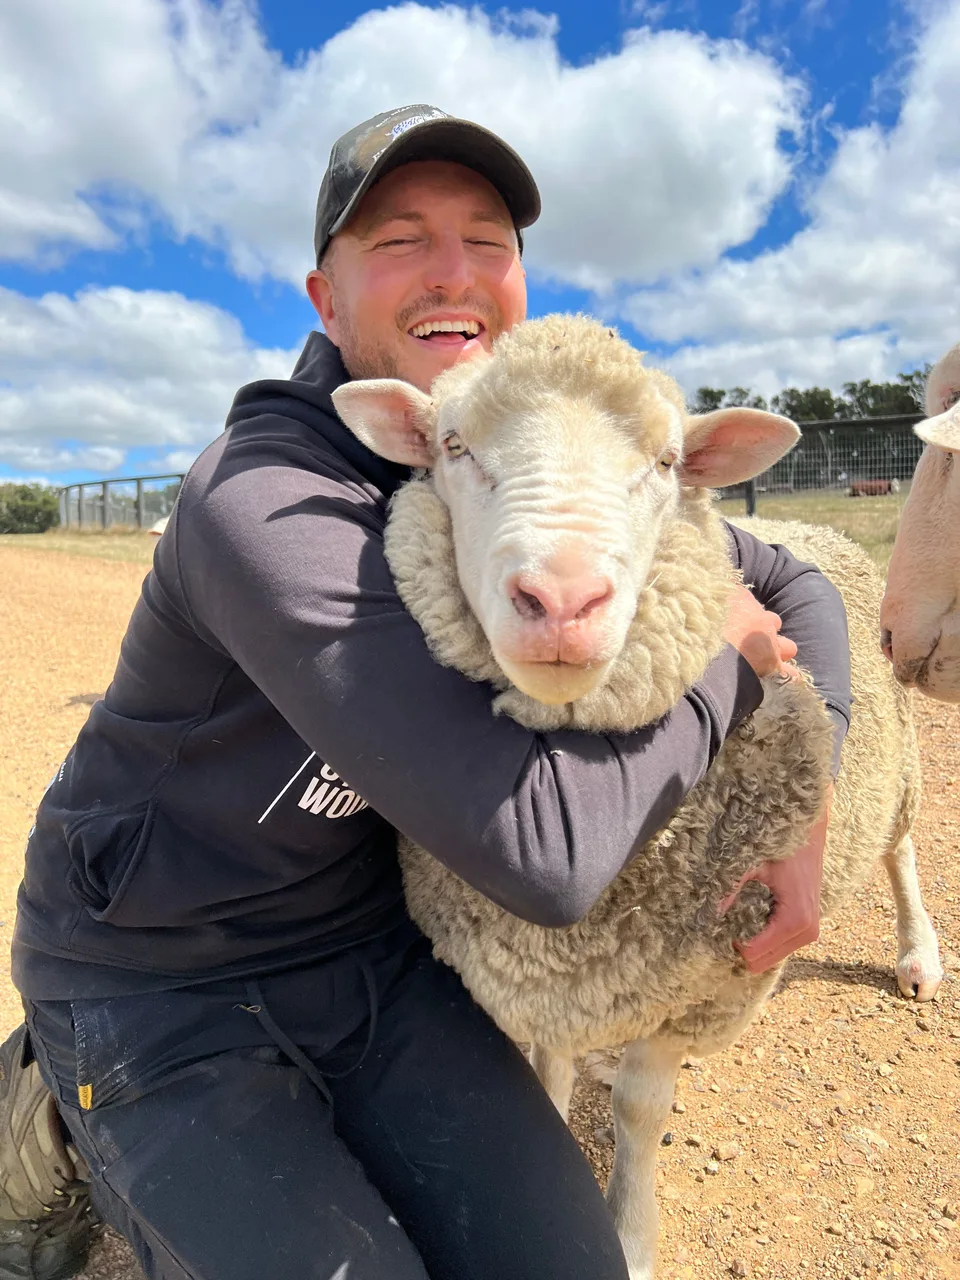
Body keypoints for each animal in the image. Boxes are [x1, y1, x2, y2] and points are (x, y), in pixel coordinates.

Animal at [333, 316, 943, 1279]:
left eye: (666, 461)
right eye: (453, 446)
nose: (562, 599)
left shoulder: (704, 993)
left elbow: (639, 1110)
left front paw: (627, 1234)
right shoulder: (531, 975)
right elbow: (547, 1079)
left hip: (902, 765)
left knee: (900, 848)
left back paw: (919, 953)